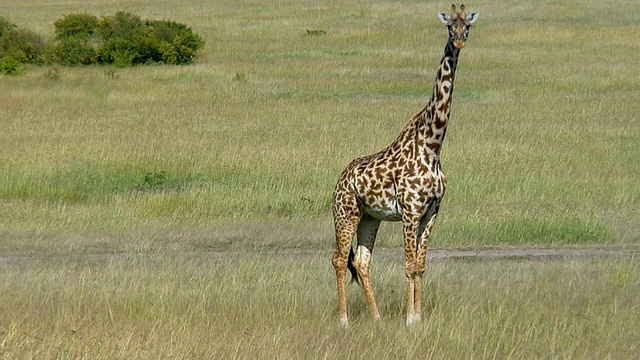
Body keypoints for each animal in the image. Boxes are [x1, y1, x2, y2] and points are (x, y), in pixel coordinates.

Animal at [332, 4, 478, 328]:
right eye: (449, 25)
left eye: (468, 26)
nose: (459, 41)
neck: (432, 144)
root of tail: (339, 179)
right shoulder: (411, 211)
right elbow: (409, 264)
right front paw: (411, 319)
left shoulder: (432, 211)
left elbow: (421, 265)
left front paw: (418, 316)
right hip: (345, 213)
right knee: (339, 258)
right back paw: (344, 320)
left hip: (369, 217)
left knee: (362, 261)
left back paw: (377, 317)